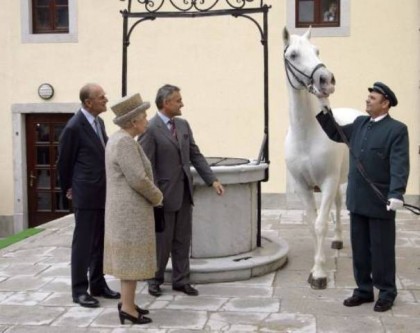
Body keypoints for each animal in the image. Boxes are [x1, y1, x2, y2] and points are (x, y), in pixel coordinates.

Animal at [282, 27, 360, 288]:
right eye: (293, 55)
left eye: (317, 51)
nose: (326, 80)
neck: (308, 133)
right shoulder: (302, 186)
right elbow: (311, 223)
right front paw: (318, 265)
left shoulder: (327, 181)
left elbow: (320, 224)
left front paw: (319, 273)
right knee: (336, 204)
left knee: (339, 206)